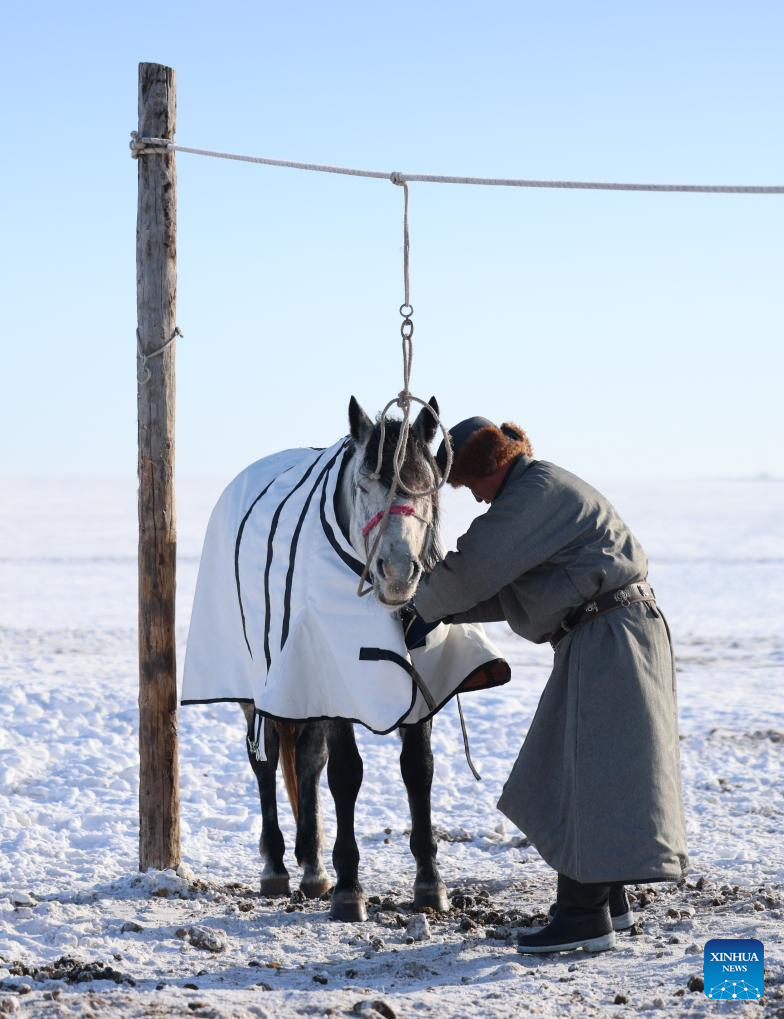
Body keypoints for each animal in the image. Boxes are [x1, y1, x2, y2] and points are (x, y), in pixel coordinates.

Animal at [240, 395, 448, 922]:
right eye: (363, 483)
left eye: (427, 484)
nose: (397, 572)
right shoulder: (336, 685)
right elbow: (346, 774)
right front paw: (350, 890)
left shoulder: (418, 691)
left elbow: (418, 769)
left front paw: (429, 883)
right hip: (258, 692)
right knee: (265, 761)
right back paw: (276, 866)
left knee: (306, 762)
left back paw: (313, 869)